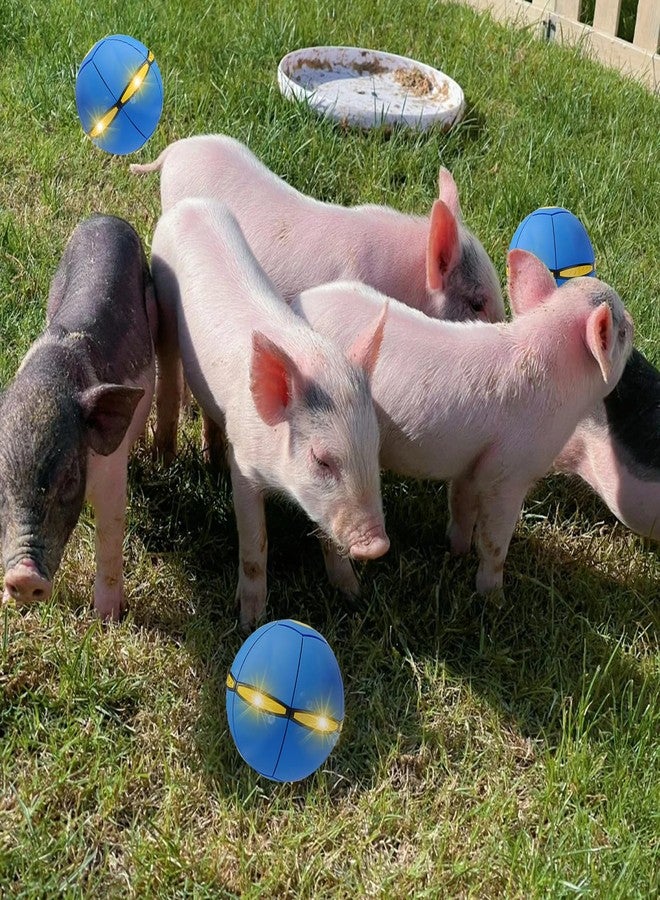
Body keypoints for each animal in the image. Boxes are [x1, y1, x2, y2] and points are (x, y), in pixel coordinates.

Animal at [0, 214, 156, 620]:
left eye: (69, 477)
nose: (24, 577)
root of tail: (105, 218)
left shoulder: (111, 471)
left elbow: (110, 533)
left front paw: (107, 619)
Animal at [150, 197, 389, 627]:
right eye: (321, 459)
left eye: (374, 449)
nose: (376, 546)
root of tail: (191, 204)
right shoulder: (245, 467)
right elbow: (255, 544)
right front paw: (249, 622)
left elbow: (326, 535)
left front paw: (353, 595)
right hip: (161, 297)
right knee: (169, 381)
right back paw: (165, 460)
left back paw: (212, 461)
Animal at [292, 249, 634, 595]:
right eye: (621, 332)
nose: (632, 320)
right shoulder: (510, 471)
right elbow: (495, 541)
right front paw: (493, 597)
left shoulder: (472, 462)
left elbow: (462, 505)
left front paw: (456, 551)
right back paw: (352, 591)